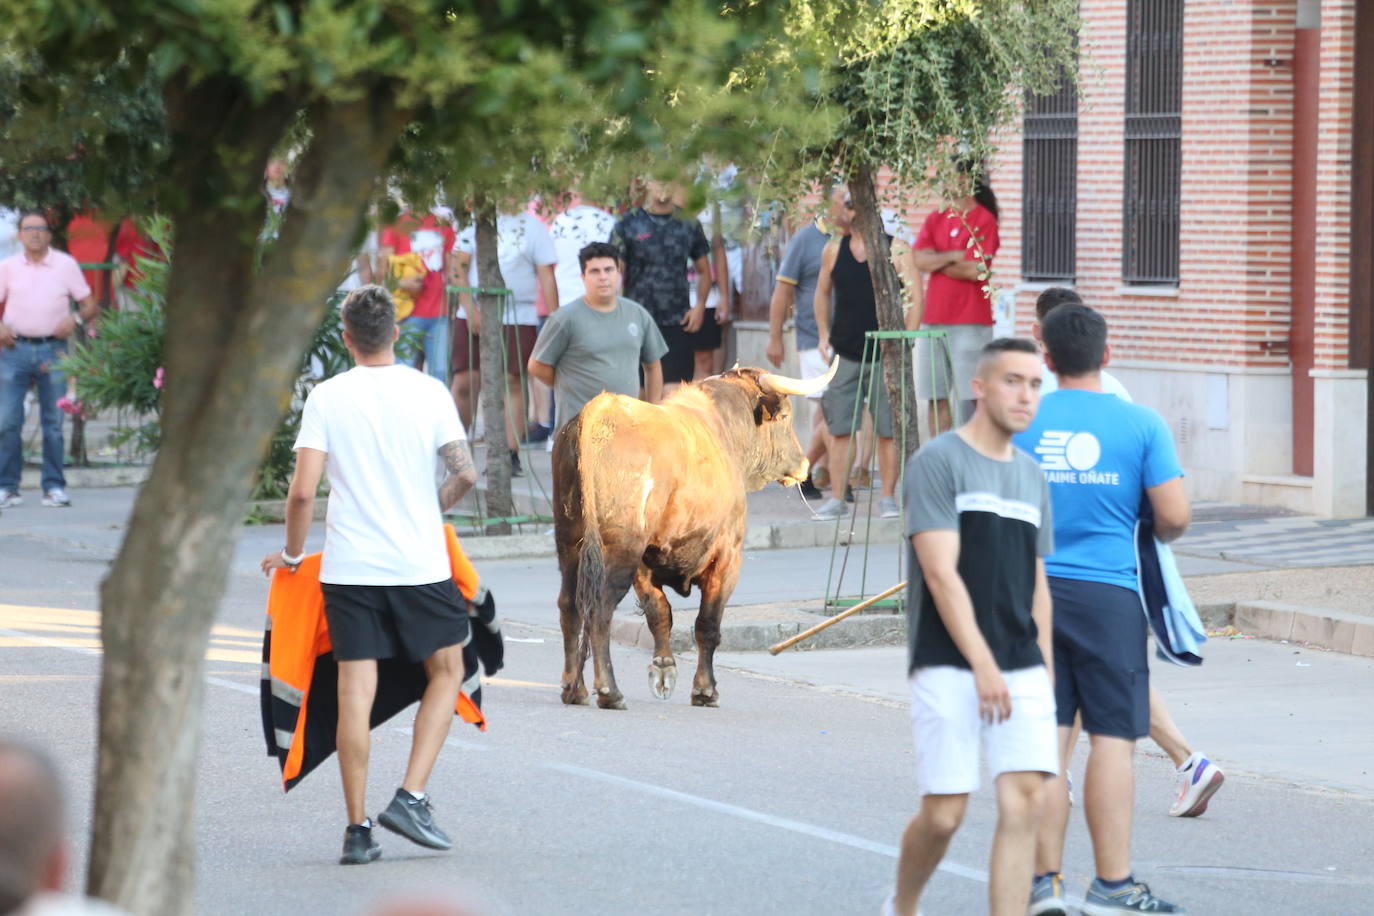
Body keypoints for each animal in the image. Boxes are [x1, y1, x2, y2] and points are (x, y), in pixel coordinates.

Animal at [549, 362, 829, 714]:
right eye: (786, 417)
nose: (803, 465)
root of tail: (601, 409)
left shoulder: (647, 563)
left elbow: (659, 614)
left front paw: (664, 669)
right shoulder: (727, 557)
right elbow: (707, 624)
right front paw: (705, 690)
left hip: (569, 543)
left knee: (569, 605)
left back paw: (574, 689)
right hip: (620, 548)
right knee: (599, 608)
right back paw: (609, 691)